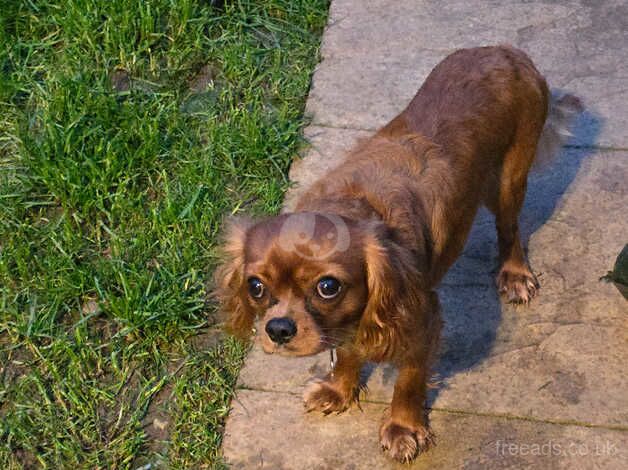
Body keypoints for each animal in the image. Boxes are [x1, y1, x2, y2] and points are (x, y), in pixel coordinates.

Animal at [216, 45, 584, 462]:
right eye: (255, 287)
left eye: (328, 287)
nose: (277, 329)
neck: (357, 204)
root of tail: (508, 51)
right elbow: (347, 352)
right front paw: (339, 390)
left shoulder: (421, 322)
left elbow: (409, 380)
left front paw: (403, 428)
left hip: (509, 178)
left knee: (510, 228)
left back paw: (515, 273)